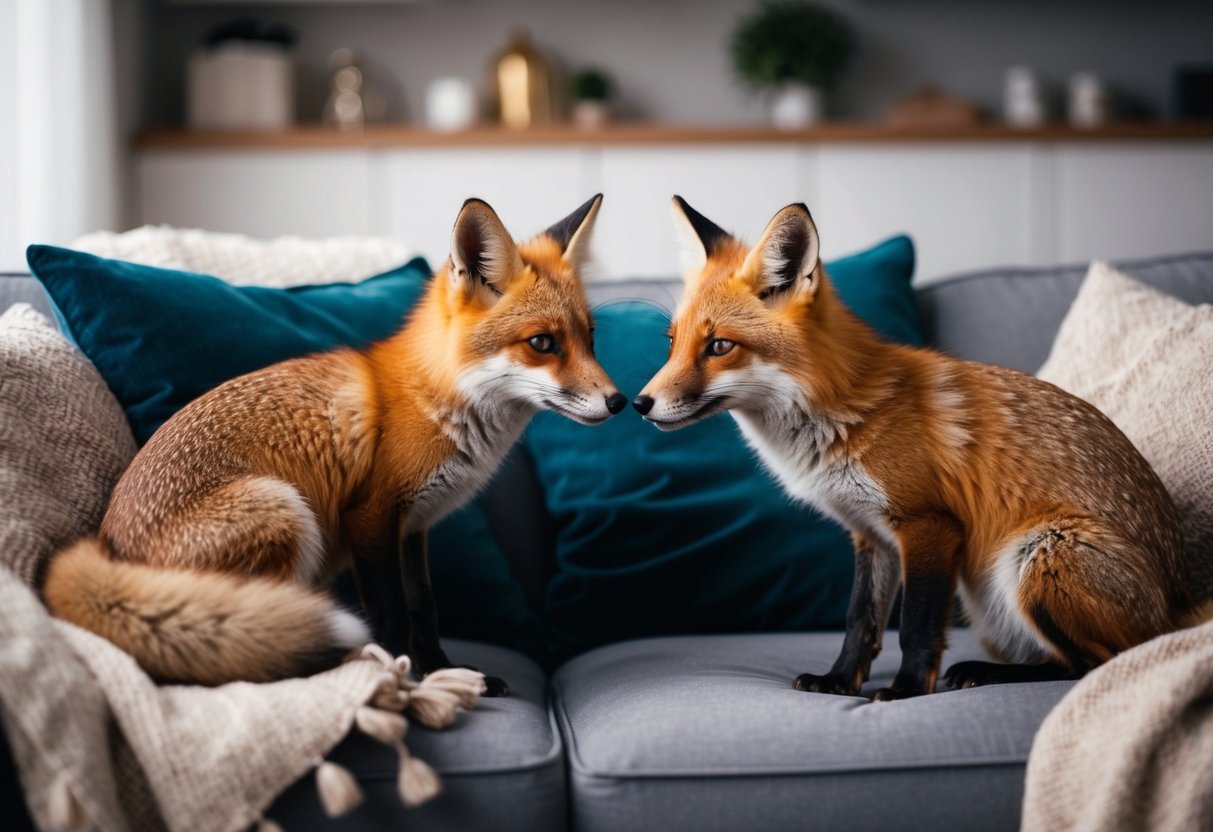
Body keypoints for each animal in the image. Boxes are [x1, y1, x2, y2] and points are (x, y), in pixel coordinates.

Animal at [44, 195, 625, 695]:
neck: (438, 399)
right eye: (542, 343)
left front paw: (441, 669)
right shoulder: (370, 517)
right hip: (284, 510)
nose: (620, 402)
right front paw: (405, 681)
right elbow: (392, 612)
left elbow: (425, 609)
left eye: (592, 338)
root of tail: (109, 554)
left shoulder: (413, 528)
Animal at [633, 195, 1203, 700]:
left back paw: (984, 674)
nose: (639, 403)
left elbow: (915, 625)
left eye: (719, 346)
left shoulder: (929, 523)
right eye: (672, 343)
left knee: (1097, 664)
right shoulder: (870, 534)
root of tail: (1179, 605)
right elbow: (860, 622)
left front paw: (906, 690)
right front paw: (838, 683)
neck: (841, 412)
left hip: (1039, 557)